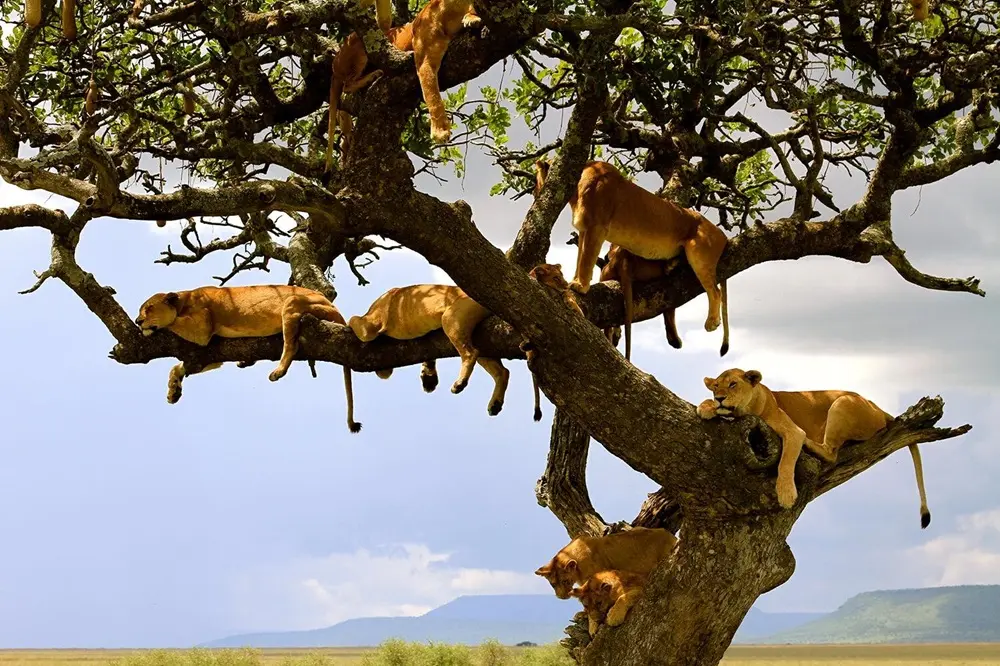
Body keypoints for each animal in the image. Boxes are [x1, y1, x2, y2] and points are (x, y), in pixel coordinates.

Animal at [135, 285, 361, 433]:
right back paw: (245, 362)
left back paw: (278, 371)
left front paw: (152, 327)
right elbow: (178, 366)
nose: (137, 321)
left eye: (149, 308)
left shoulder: (202, 329)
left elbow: (172, 322)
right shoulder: (208, 355)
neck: (184, 300)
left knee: (292, 345)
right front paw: (173, 391)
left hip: (292, 302)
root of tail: (335, 308)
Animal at [348, 284, 510, 416]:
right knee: (502, 371)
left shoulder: (369, 326)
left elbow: (353, 318)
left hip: (451, 318)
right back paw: (495, 404)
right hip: (481, 340)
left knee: (470, 353)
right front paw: (428, 377)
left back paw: (459, 383)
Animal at [533, 159, 730, 357]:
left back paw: (712, 322)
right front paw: (575, 280)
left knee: (715, 290)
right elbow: (580, 258)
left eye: (535, 179)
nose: (535, 193)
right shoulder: (584, 230)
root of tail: (722, 234)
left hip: (698, 252)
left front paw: (580, 286)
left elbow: (586, 260)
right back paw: (670, 266)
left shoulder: (596, 227)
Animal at [697, 368, 930, 526]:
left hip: (842, 402)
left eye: (733, 384)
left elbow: (785, 463)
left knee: (830, 453)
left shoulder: (793, 432)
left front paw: (786, 495)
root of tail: (879, 409)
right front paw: (706, 407)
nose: (719, 398)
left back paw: (810, 443)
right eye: (716, 386)